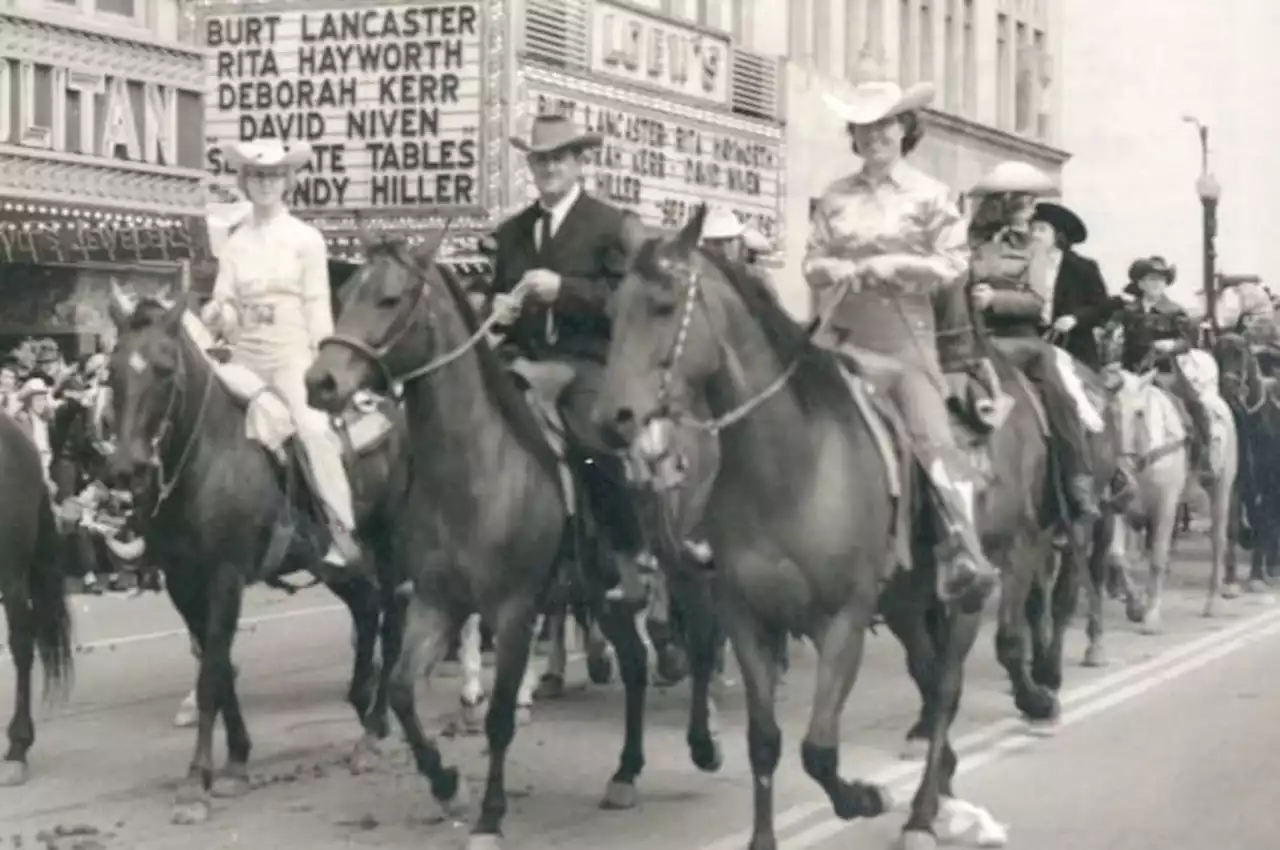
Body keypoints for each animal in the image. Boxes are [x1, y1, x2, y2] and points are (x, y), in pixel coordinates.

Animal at [103, 289, 404, 824]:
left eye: (164, 369)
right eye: (113, 370)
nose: (125, 468)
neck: (205, 458)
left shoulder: (224, 577)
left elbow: (211, 674)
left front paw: (194, 783)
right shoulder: (183, 584)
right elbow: (219, 668)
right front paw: (236, 762)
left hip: (389, 550)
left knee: (391, 622)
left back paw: (374, 729)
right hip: (332, 564)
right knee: (368, 608)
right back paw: (361, 697)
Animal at [298, 234, 721, 850]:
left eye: (390, 298)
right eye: (346, 293)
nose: (320, 382)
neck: (474, 467)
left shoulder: (514, 609)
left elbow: (498, 715)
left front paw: (490, 815)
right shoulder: (437, 601)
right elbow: (400, 690)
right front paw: (446, 784)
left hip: (681, 565)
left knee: (702, 641)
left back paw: (704, 740)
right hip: (601, 590)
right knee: (636, 662)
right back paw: (625, 772)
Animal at [596, 206, 1070, 850]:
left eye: (665, 305)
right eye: (611, 312)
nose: (611, 420)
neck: (794, 465)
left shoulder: (841, 620)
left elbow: (819, 749)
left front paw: (866, 797)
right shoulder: (748, 617)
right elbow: (765, 742)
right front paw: (764, 839)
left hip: (984, 578)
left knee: (949, 685)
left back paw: (923, 812)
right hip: (906, 600)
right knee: (929, 679)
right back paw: (943, 779)